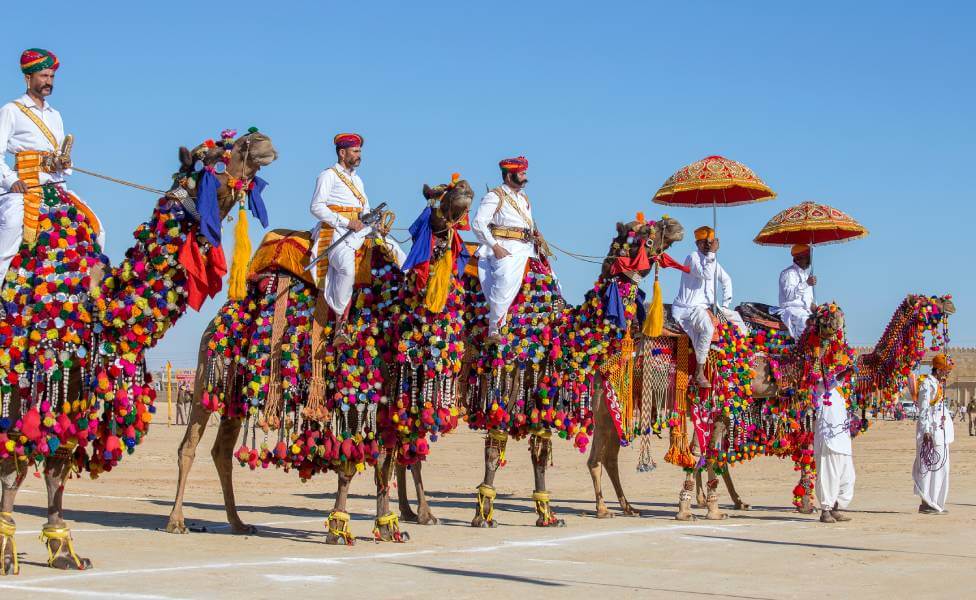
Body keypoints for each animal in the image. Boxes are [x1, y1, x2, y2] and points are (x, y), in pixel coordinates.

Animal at [0, 129, 282, 576]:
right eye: (214, 156)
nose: (261, 140)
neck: (97, 303)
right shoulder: (28, 371)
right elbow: (16, 461)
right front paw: (8, 551)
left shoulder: (74, 377)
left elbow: (58, 459)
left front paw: (63, 551)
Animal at [166, 177, 474, 544]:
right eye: (438, 195)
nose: (464, 188)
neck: (394, 309)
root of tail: (217, 319)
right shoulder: (351, 389)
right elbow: (350, 462)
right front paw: (338, 528)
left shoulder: (386, 399)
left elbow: (383, 462)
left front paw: (388, 526)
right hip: (206, 376)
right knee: (188, 446)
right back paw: (176, 521)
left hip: (234, 393)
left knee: (221, 452)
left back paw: (238, 523)